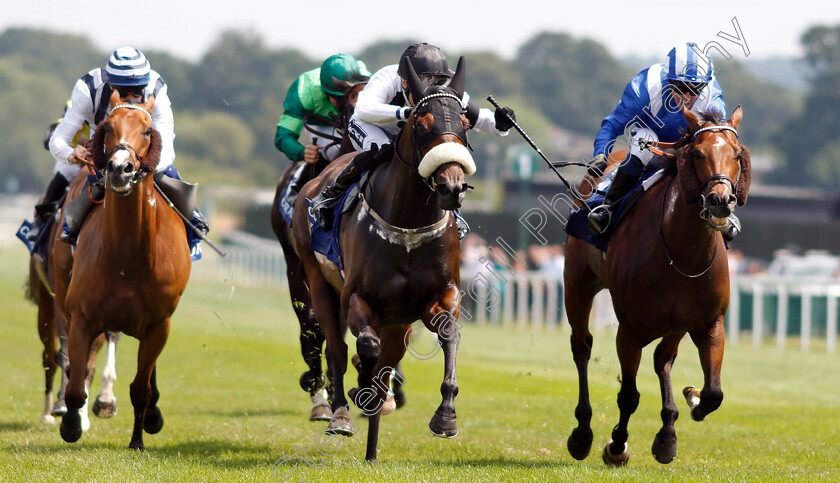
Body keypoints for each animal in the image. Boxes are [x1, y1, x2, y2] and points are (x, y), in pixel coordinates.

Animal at [53, 91, 191, 450]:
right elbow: (76, 384)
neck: (127, 258)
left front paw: (137, 441)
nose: (119, 168)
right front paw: (71, 425)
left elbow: (141, 389)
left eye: (147, 130)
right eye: (109, 126)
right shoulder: (82, 317)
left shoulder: (159, 325)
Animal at [292, 55, 476, 462]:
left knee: (387, 361)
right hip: (318, 281)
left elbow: (449, 335)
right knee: (338, 347)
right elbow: (365, 348)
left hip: (400, 320)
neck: (408, 223)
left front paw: (446, 418)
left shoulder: (437, 298)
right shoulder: (358, 297)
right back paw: (341, 413)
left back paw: (373, 444)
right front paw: (359, 389)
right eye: (421, 123)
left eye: (465, 121)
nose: (452, 186)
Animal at [560, 106, 752, 466]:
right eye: (698, 153)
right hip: (577, 285)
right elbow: (629, 395)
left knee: (663, 358)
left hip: (676, 323)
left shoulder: (709, 323)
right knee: (582, 347)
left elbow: (714, 393)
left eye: (736, 154)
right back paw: (582, 433)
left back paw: (667, 433)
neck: (681, 252)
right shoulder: (630, 330)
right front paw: (616, 445)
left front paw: (691, 401)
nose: (720, 200)